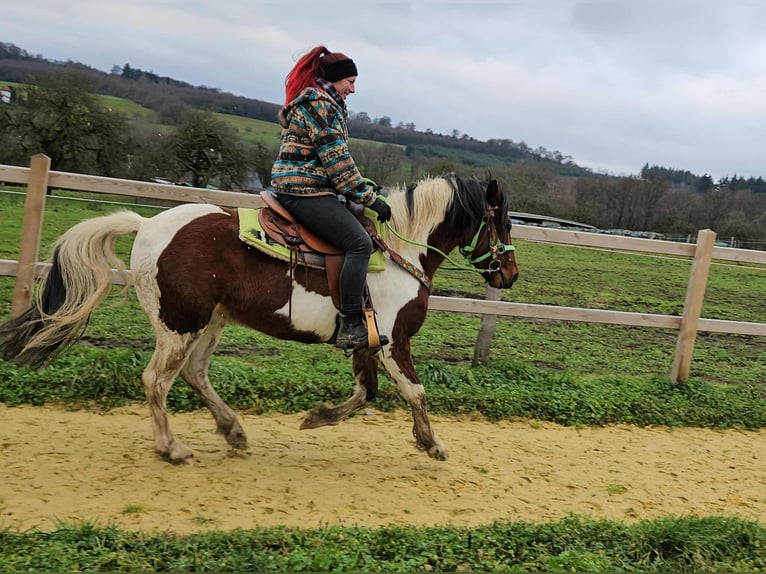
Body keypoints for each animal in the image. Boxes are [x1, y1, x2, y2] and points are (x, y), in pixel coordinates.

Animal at [0, 175, 519, 464]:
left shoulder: (366, 341)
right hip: (179, 325)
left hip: (210, 322)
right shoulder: (393, 341)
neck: (398, 254)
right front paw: (432, 443)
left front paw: (318, 417)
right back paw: (172, 449)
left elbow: (365, 392)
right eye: (504, 222)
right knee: (156, 381)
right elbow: (414, 391)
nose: (510, 274)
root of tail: (147, 225)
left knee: (195, 373)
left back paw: (233, 431)